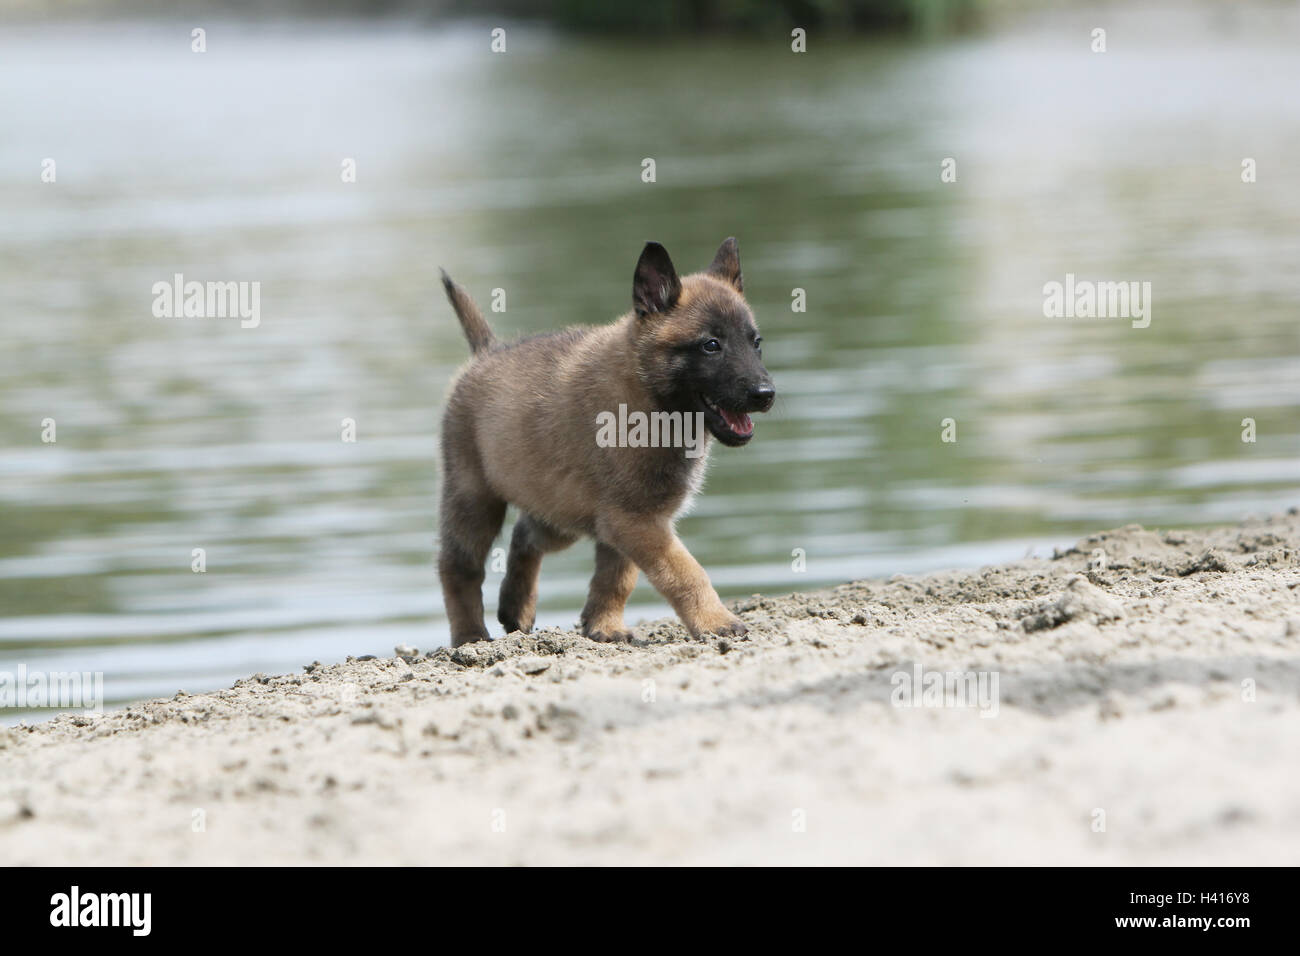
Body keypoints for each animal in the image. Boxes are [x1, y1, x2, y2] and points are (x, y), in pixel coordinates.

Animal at [441, 235, 774, 647]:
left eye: (756, 343)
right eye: (711, 345)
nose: (766, 394)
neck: (650, 399)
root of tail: (487, 350)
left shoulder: (627, 522)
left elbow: (616, 577)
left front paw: (604, 626)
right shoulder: (635, 521)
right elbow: (685, 572)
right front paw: (715, 621)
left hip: (560, 511)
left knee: (525, 535)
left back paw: (516, 607)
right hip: (474, 501)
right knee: (458, 568)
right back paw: (470, 635)